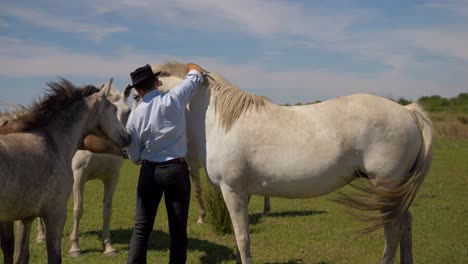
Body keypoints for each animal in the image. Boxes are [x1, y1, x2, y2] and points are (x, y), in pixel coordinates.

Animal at [0, 79, 130, 264]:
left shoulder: (25, 217)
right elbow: (55, 254)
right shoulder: (57, 214)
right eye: (114, 109)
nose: (127, 138)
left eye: (128, 110)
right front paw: (75, 249)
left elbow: (20, 256)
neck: (52, 143)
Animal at [152, 62, 434, 264]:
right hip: (395, 191)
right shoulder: (240, 194)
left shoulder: (233, 192)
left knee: (393, 231)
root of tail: (408, 111)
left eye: (160, 74)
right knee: (406, 225)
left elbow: (243, 239)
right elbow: (238, 239)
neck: (221, 121)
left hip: (385, 186)